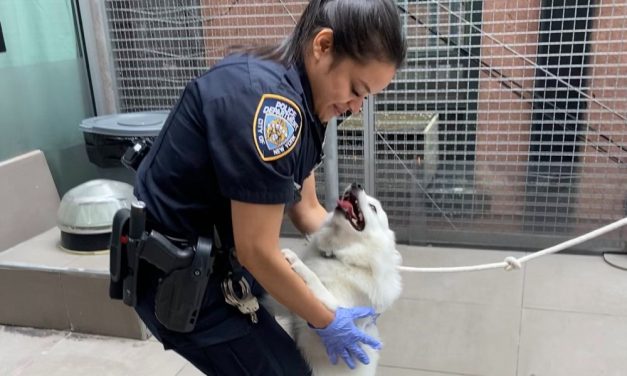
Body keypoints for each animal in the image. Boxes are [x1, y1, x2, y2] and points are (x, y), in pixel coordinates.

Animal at [280, 184, 402, 374]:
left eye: (373, 208)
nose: (356, 184)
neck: (339, 257)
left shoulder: (337, 309)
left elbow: (315, 279)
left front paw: (296, 261)